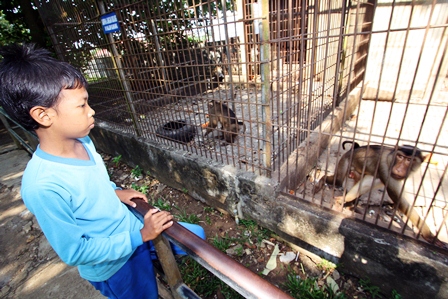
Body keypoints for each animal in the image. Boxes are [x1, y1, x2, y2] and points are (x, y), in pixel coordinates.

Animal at [316, 142, 444, 247]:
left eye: (409, 160)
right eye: (400, 157)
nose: (399, 169)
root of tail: (354, 149)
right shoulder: (386, 168)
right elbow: (398, 200)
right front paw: (429, 235)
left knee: (363, 183)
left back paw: (348, 203)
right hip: (346, 160)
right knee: (338, 180)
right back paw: (324, 182)